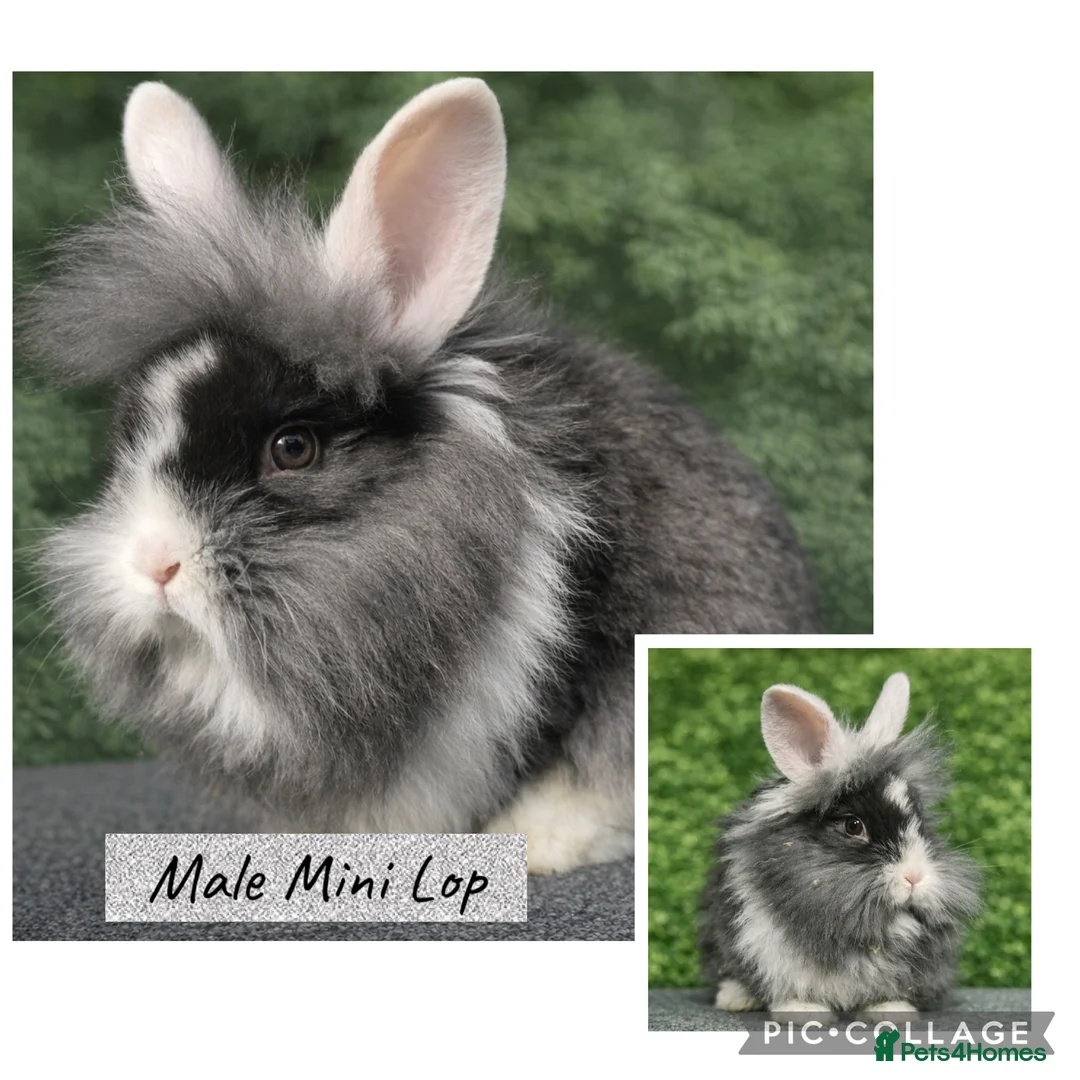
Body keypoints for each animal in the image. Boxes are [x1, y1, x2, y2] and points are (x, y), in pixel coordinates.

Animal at [700, 673, 981, 1013]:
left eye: (921, 822)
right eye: (853, 826)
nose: (914, 877)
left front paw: (892, 1010)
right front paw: (803, 1012)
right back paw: (734, 999)